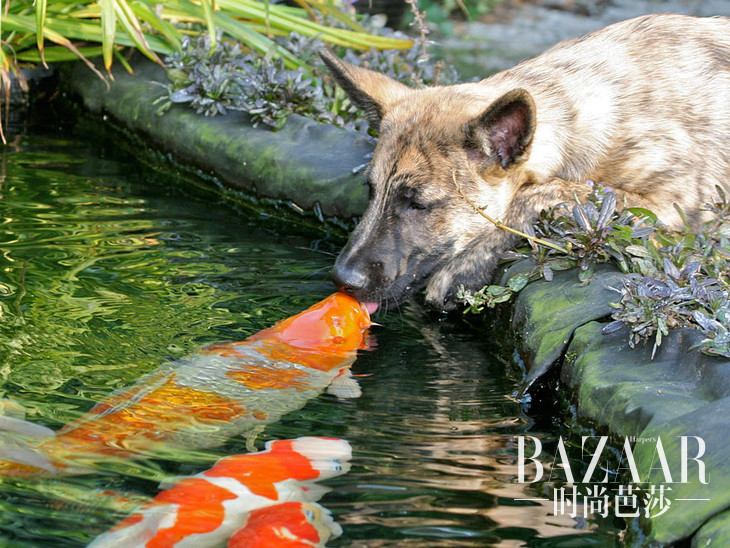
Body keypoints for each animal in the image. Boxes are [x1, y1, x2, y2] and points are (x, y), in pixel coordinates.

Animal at [322, 13, 728, 312]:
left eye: (418, 204)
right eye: (371, 191)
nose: (342, 280)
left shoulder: (673, 213)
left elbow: (535, 195)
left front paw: (464, 269)